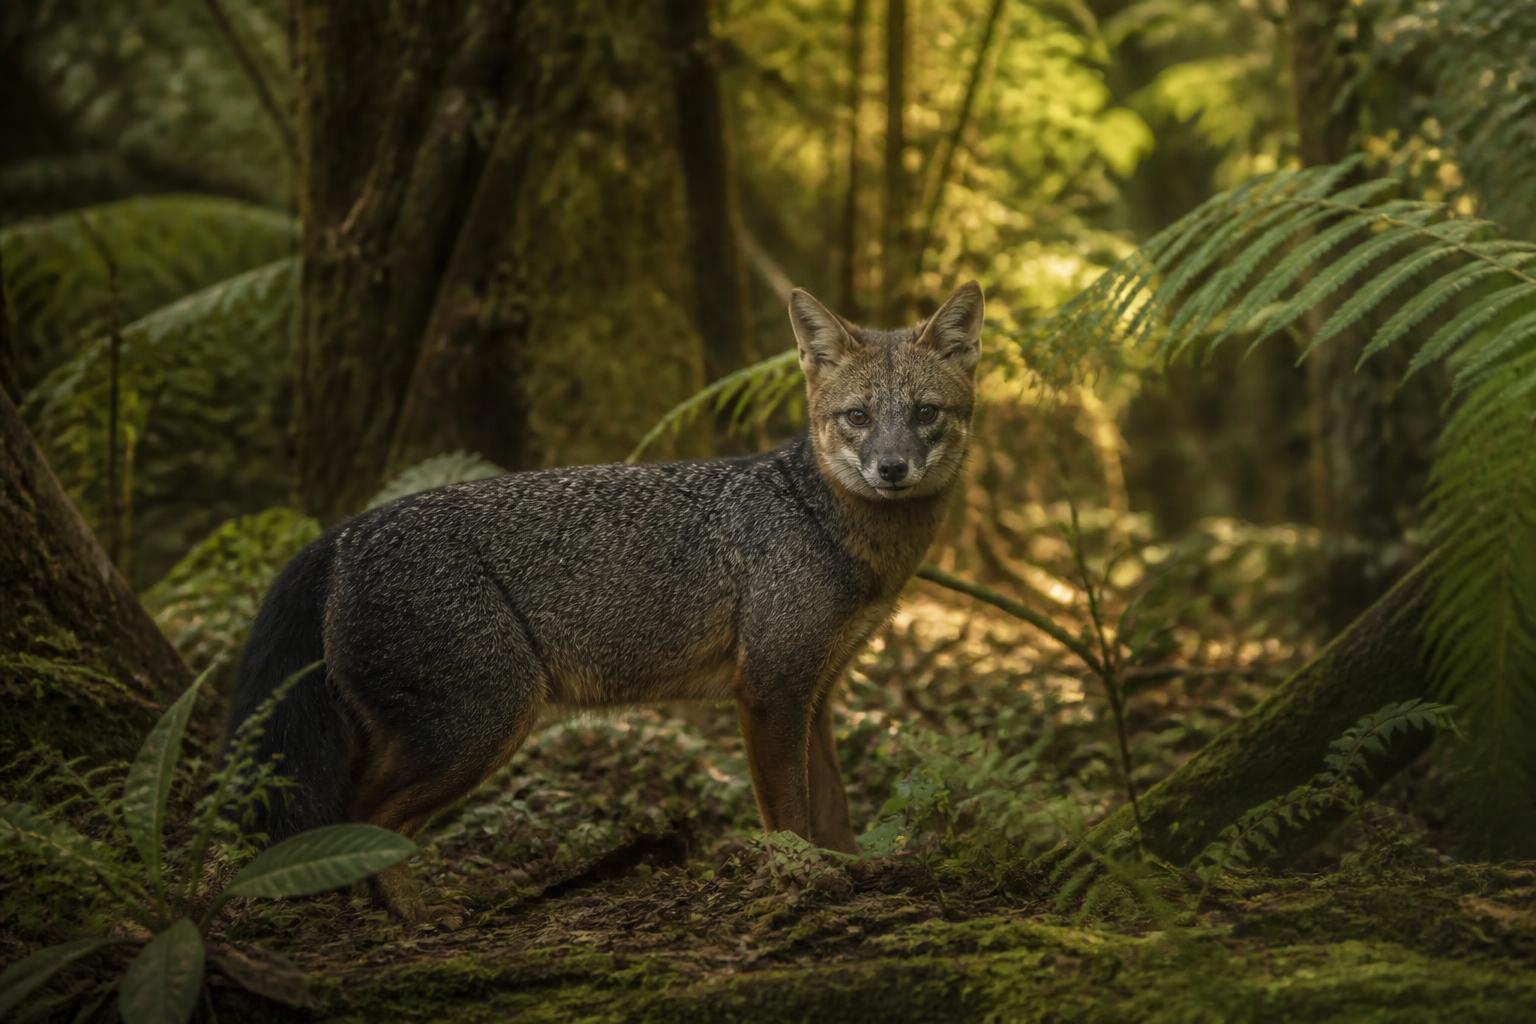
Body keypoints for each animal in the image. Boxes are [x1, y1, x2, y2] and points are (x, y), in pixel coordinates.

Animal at [227, 281, 985, 923]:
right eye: (857, 417)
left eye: (925, 414)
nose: (891, 468)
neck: (829, 525)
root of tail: (343, 533)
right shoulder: (770, 690)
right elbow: (790, 815)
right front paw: (805, 880)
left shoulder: (817, 692)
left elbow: (833, 809)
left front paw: (853, 872)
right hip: (484, 724)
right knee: (364, 815)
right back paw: (416, 917)